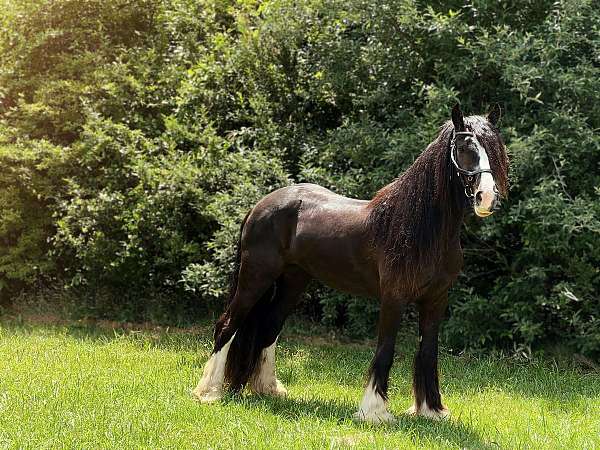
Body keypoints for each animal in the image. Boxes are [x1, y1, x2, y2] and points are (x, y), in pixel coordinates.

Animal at [192, 104, 506, 422]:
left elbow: (429, 352)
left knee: (269, 327)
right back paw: (209, 392)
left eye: (495, 148)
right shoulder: (394, 297)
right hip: (255, 277)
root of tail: (260, 206)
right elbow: (386, 349)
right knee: (227, 324)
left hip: (293, 281)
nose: (487, 198)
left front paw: (432, 410)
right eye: (465, 148)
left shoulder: (436, 299)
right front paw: (375, 411)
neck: (418, 229)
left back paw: (267, 389)